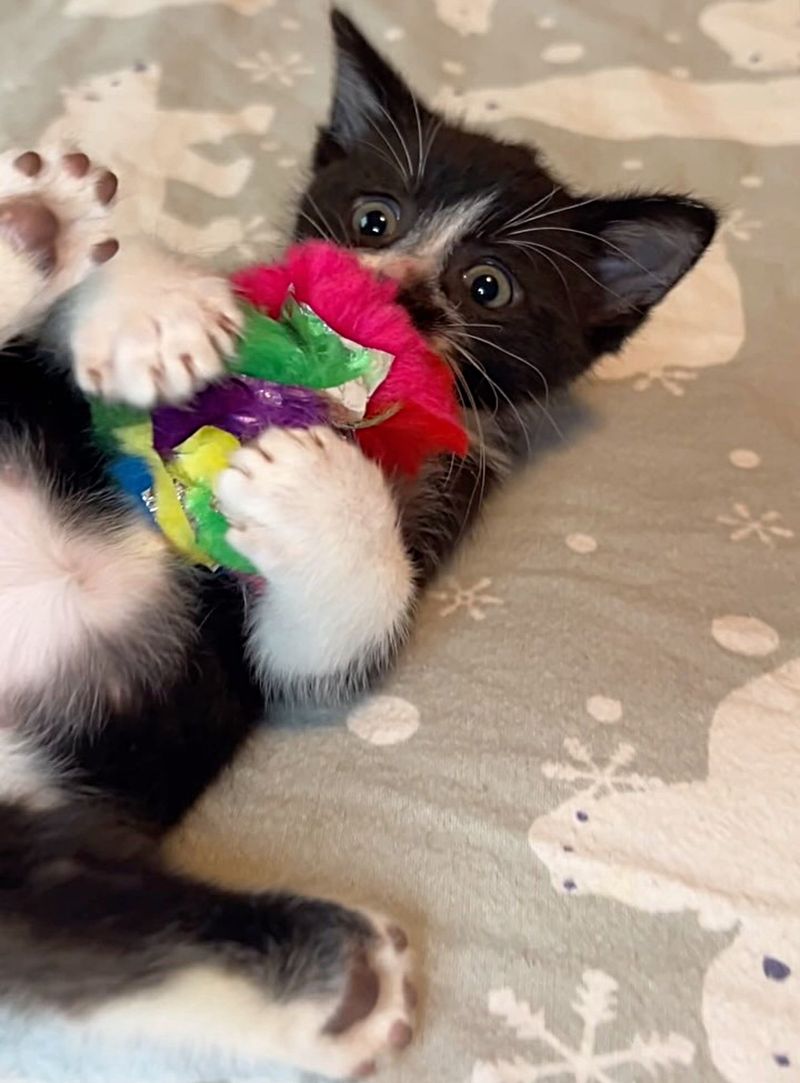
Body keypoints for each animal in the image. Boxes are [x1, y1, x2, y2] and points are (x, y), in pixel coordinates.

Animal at [0, 10, 718, 1083]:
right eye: (373, 220)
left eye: (488, 285)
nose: (396, 295)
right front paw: (150, 307)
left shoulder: (417, 523)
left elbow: (325, 642)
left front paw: (318, 484)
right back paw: (39, 225)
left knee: (42, 912)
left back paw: (330, 981)